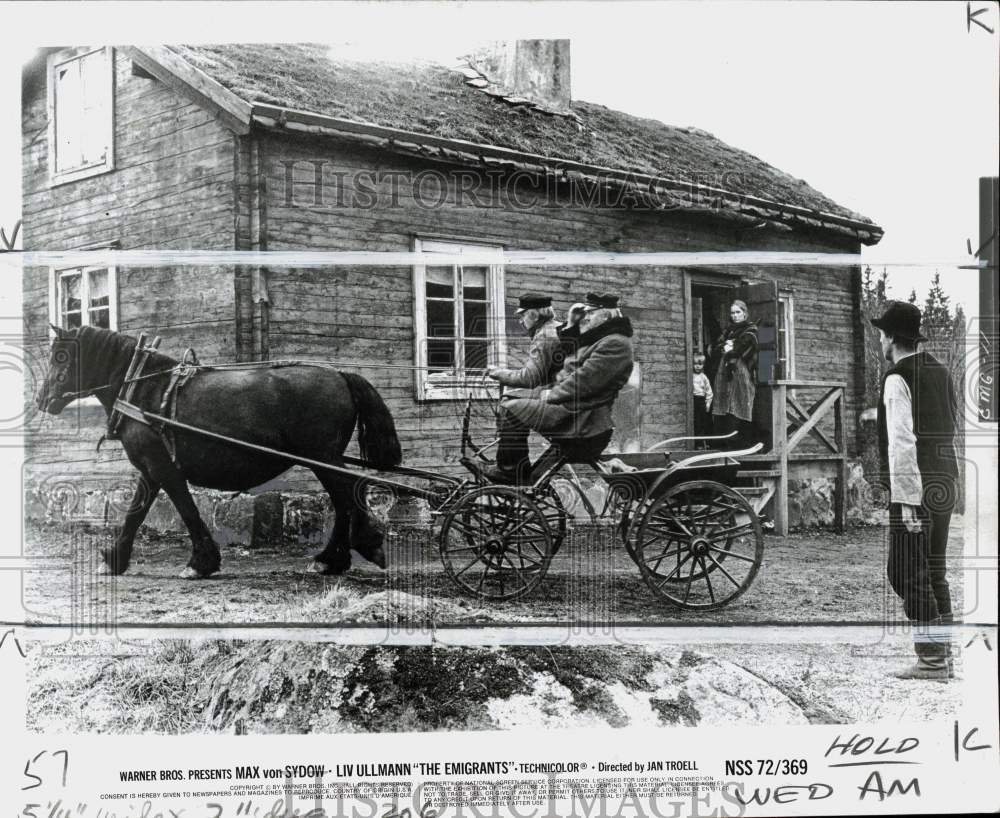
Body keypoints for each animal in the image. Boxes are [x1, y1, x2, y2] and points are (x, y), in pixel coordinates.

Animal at [36, 322, 402, 576]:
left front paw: (200, 563)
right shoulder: (150, 469)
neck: (143, 386)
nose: (41, 400)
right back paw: (337, 557)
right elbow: (135, 513)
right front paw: (114, 559)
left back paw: (347, 552)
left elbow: (186, 509)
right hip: (324, 459)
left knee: (348, 496)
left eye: (60, 357)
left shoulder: (163, 467)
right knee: (345, 499)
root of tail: (340, 374)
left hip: (322, 458)